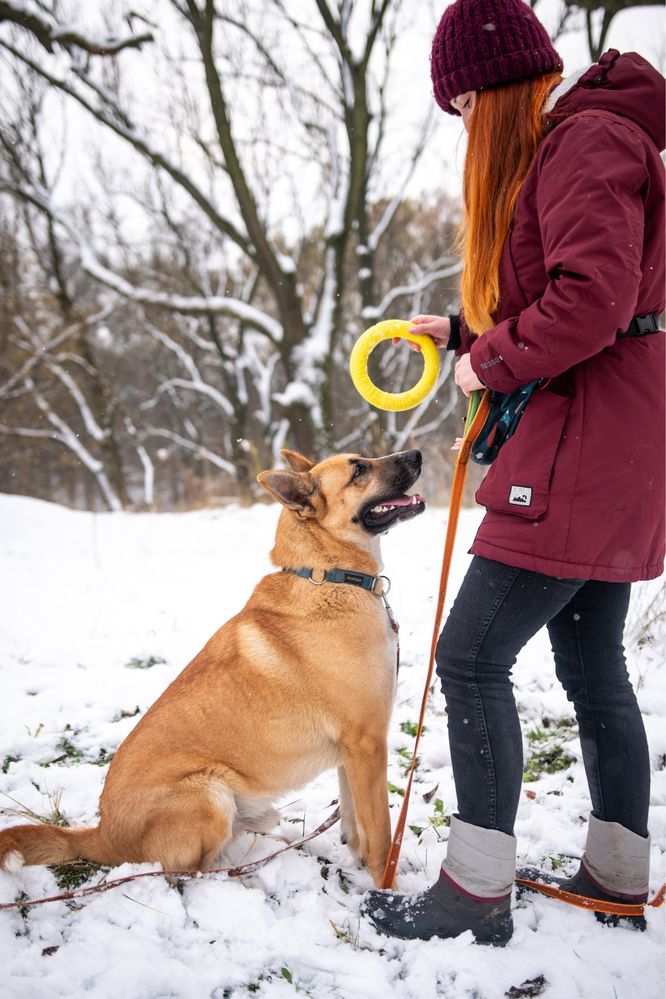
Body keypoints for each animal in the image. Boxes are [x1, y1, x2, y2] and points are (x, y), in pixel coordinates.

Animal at [0, 450, 422, 888]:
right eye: (359, 469)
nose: (416, 455)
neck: (328, 575)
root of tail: (103, 834)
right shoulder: (367, 744)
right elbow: (380, 830)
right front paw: (387, 887)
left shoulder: (352, 751)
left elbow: (354, 822)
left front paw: (359, 864)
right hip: (209, 792)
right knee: (187, 872)